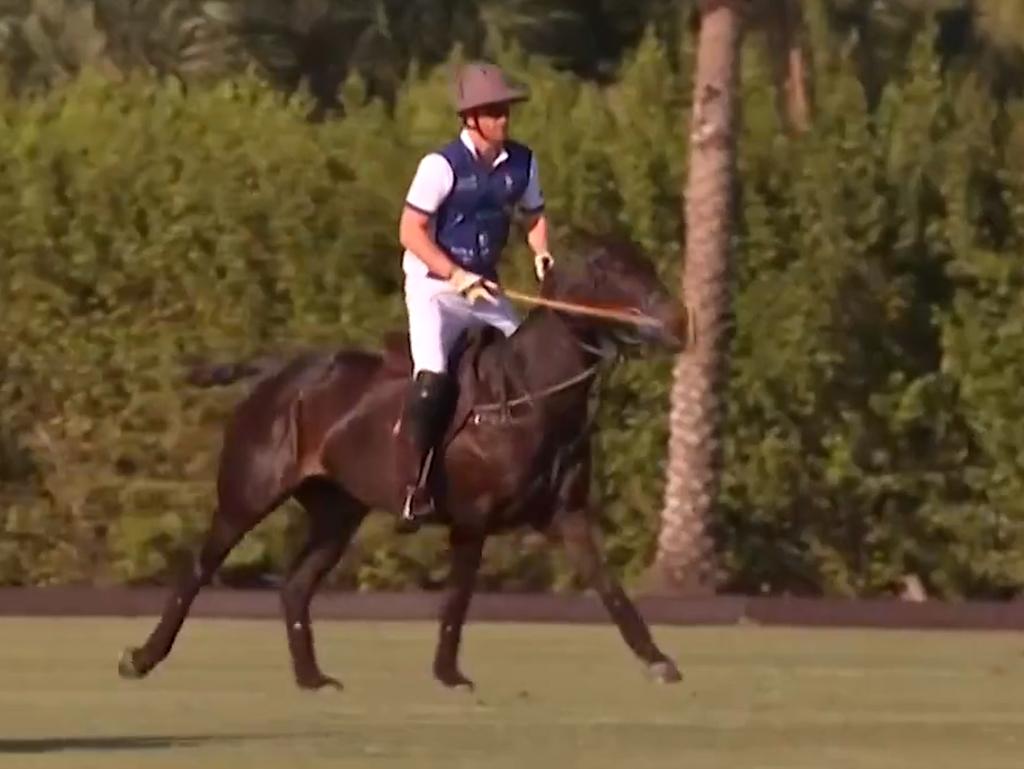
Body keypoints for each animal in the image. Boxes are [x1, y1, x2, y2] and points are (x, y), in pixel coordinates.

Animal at [116, 236, 688, 692]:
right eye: (610, 271)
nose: (679, 322)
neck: (526, 395)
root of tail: (279, 370)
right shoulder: (472, 519)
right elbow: (457, 598)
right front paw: (449, 674)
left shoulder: (568, 515)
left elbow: (610, 589)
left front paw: (659, 662)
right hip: (247, 493)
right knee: (198, 568)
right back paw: (141, 659)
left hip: (338, 511)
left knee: (296, 586)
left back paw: (312, 678)